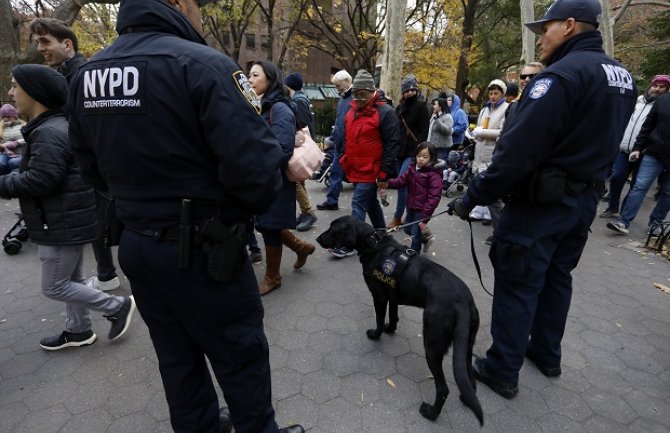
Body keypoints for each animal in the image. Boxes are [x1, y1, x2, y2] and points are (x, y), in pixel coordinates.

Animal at [318, 214, 486, 424]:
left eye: (334, 230)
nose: (317, 239)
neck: (373, 243)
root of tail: (462, 301)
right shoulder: (393, 296)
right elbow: (393, 316)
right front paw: (390, 329)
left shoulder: (380, 297)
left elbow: (379, 319)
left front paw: (376, 334)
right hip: (467, 346)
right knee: (469, 379)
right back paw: (466, 397)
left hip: (432, 344)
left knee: (443, 389)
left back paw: (431, 413)